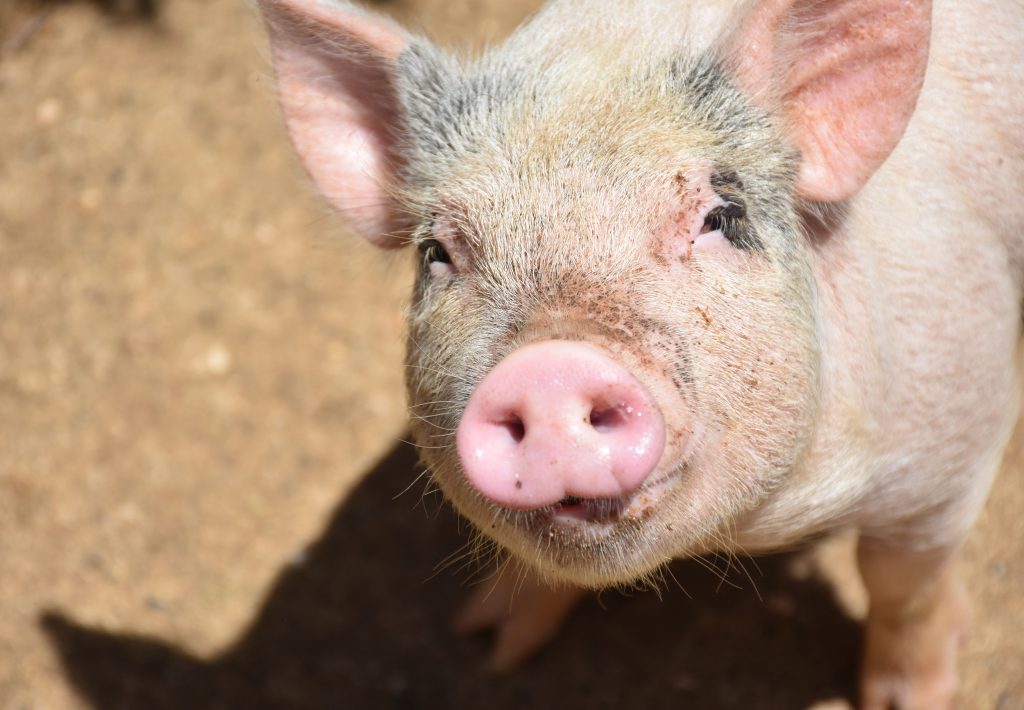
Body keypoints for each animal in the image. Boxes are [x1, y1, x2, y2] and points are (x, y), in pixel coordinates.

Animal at [255, 0, 1024, 707]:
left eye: (721, 218)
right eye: (437, 252)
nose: (551, 365)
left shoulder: (954, 441)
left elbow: (902, 584)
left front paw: (909, 698)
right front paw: (488, 645)